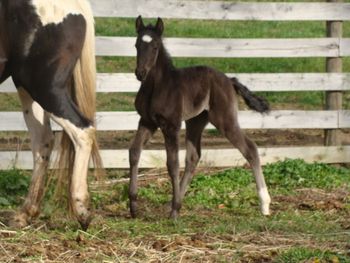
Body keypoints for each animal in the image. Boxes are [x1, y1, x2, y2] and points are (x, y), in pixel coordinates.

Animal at [0, 0, 102, 231]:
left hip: (44, 87)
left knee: (83, 131)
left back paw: (82, 210)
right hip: (27, 88)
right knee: (43, 141)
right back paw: (26, 213)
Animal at [130, 15, 272, 220]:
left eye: (155, 46)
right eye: (136, 45)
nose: (140, 73)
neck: (157, 87)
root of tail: (229, 80)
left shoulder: (171, 125)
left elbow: (172, 164)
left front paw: (174, 212)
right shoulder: (147, 122)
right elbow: (134, 153)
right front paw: (133, 206)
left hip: (225, 120)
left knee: (250, 149)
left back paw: (264, 204)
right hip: (195, 121)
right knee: (193, 158)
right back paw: (175, 204)